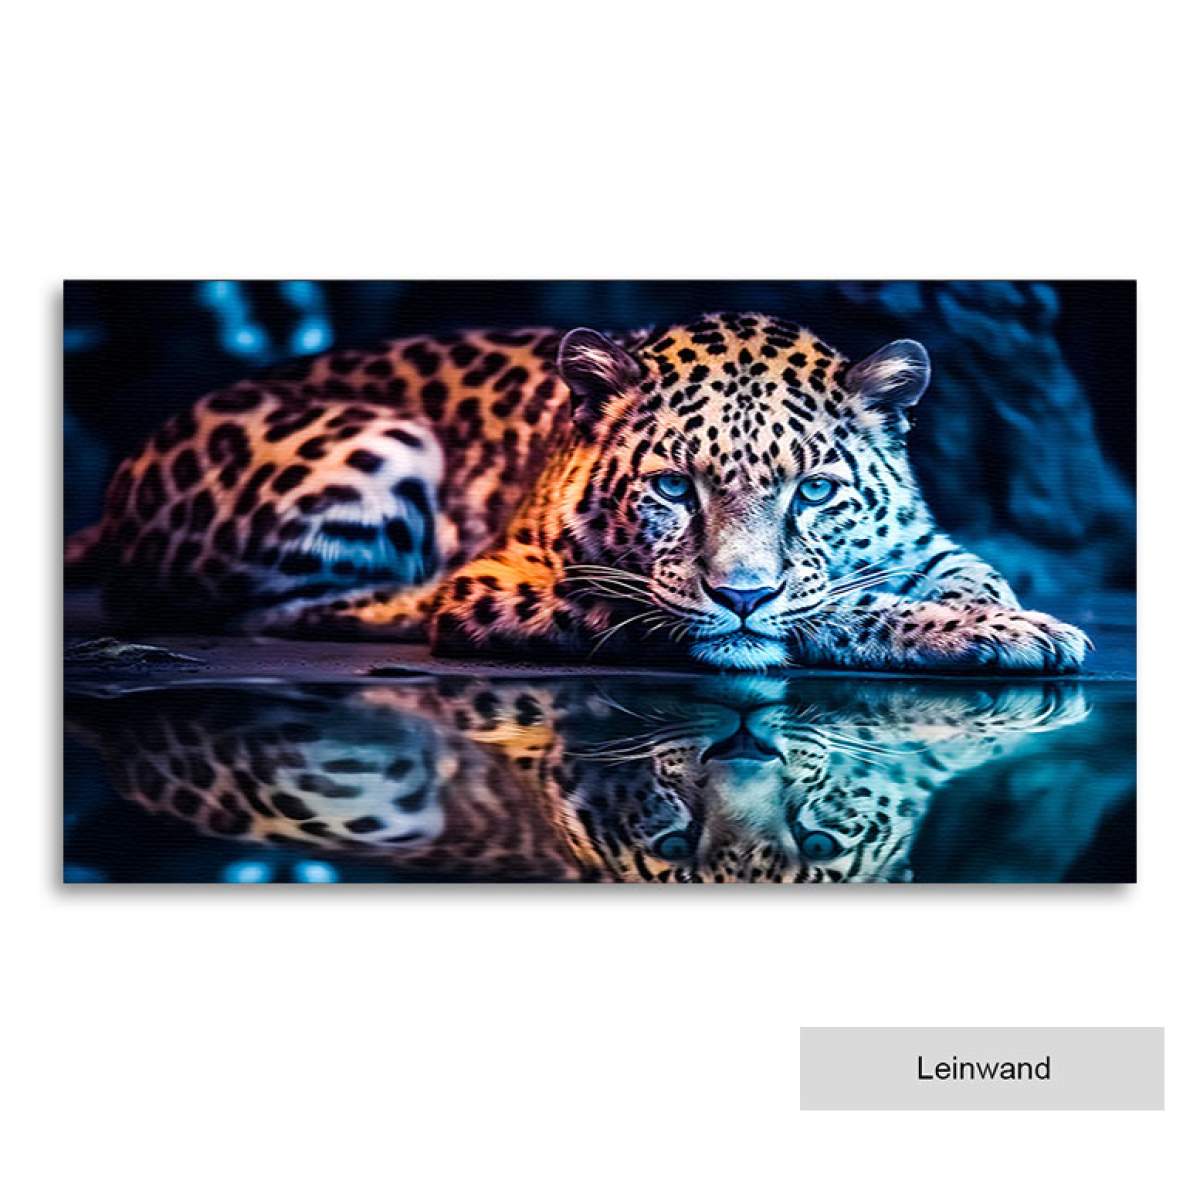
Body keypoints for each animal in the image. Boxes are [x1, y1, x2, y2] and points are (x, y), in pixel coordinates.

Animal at [66, 312, 1091, 673]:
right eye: (673, 487)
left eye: (813, 493)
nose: (743, 594)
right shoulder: (518, 585)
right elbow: (835, 608)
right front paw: (1001, 634)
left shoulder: (928, 541)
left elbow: (963, 572)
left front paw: (997, 614)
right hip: (379, 440)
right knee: (260, 611)